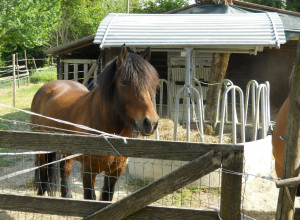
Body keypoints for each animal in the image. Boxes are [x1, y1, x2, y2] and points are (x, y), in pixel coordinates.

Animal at [31, 45, 159, 201]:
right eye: (124, 81)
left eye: (152, 83)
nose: (150, 122)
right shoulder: (88, 171)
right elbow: (90, 198)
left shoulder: (115, 172)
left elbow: (106, 198)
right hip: (41, 149)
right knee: (42, 172)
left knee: (64, 169)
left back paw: (67, 196)